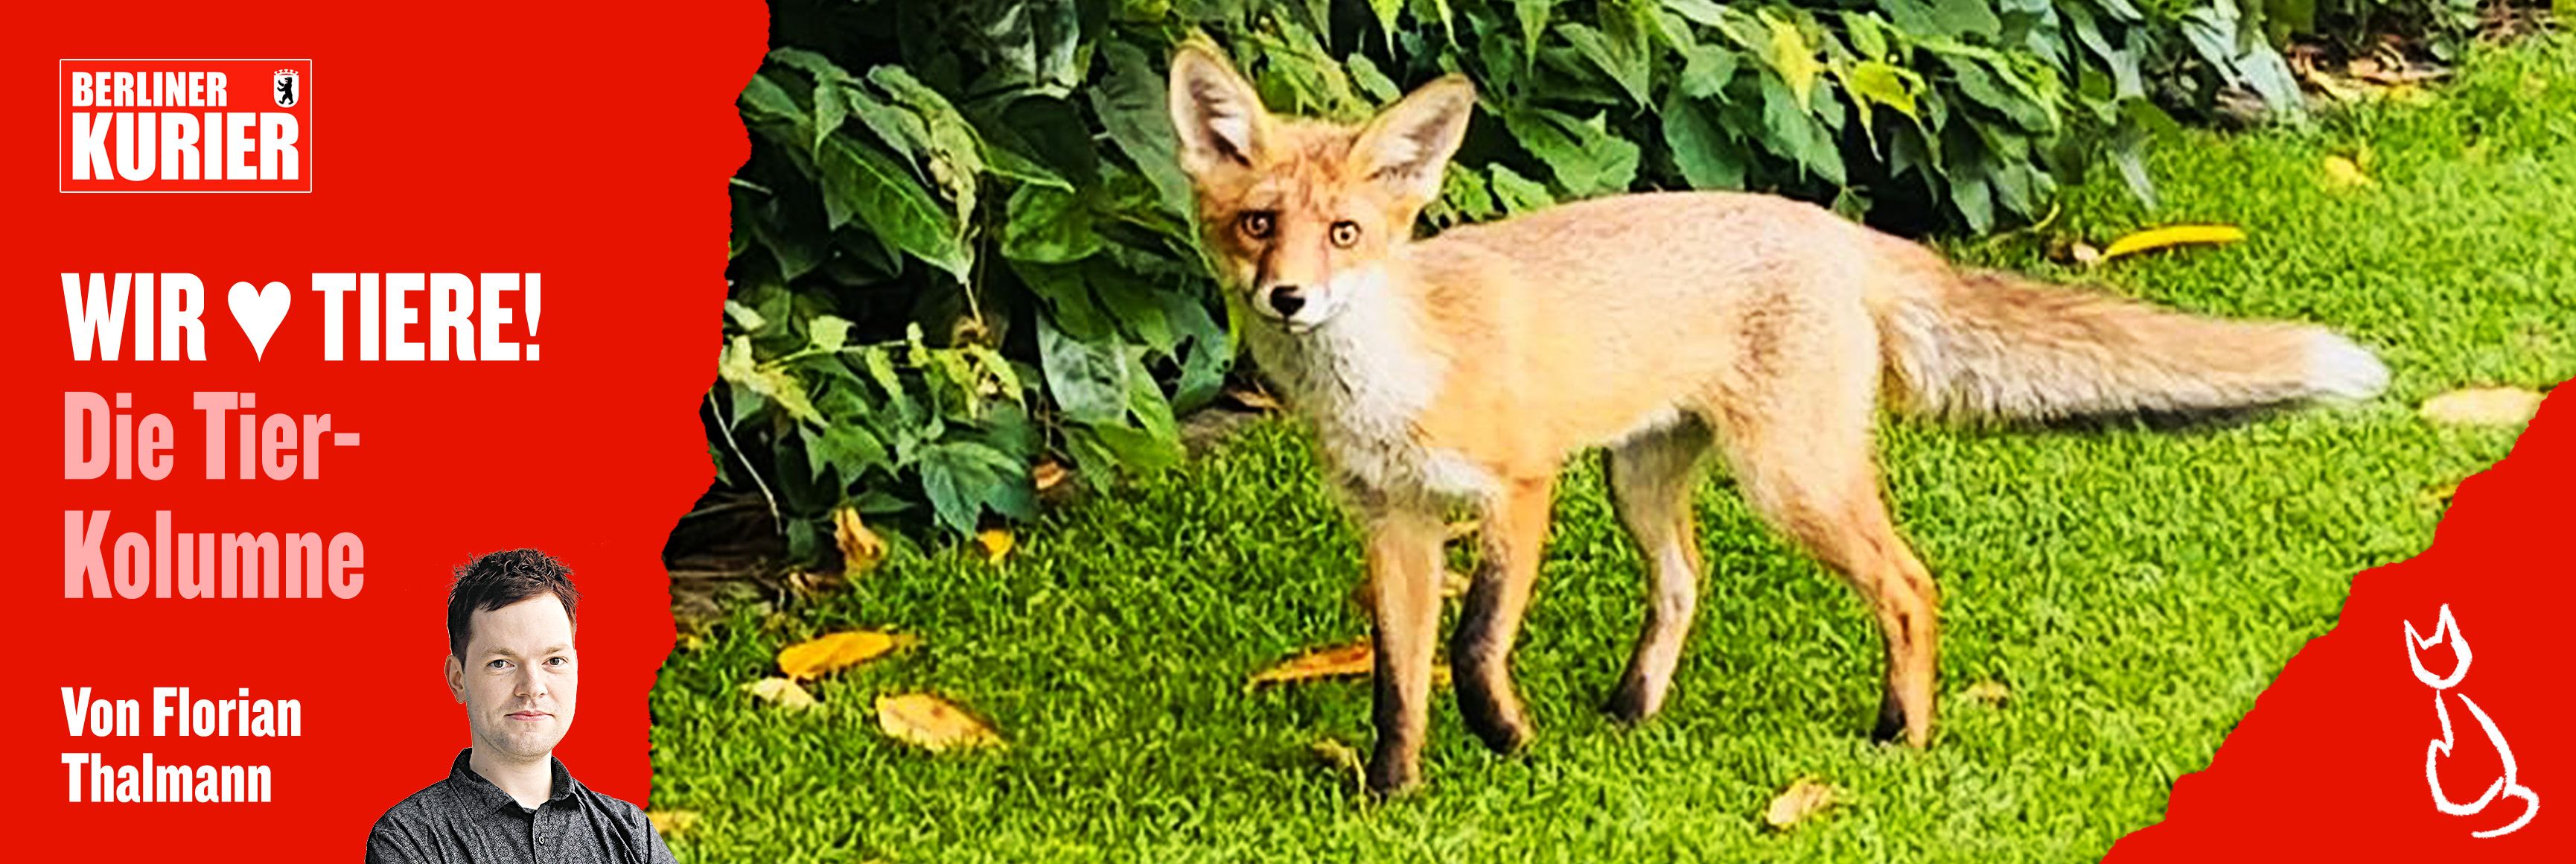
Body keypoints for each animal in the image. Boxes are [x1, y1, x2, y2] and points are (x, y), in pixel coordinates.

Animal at [1163, 44, 2389, 796]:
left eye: (1348, 234)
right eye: (1260, 224)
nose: (1289, 299)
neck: (1389, 382)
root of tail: (1833, 227)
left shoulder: (1521, 490)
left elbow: (1469, 649)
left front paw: (1508, 740)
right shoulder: (1395, 525)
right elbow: (1394, 682)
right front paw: (1394, 794)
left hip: (1788, 479)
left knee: (1910, 581)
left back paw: (1903, 735)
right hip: (1643, 480)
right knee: (1685, 582)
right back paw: (1634, 711)